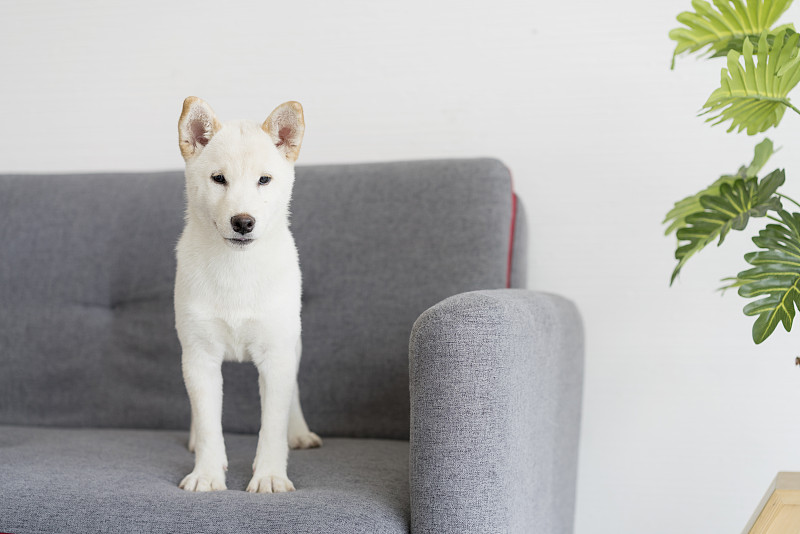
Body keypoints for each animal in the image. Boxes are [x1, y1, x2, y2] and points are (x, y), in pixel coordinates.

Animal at [176, 96, 322, 494]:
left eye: (264, 180)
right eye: (218, 178)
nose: (243, 222)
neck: (236, 269)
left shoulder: (276, 355)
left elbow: (272, 425)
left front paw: (269, 475)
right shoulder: (200, 356)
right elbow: (209, 423)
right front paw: (207, 474)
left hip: (293, 343)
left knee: (294, 393)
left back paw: (298, 433)